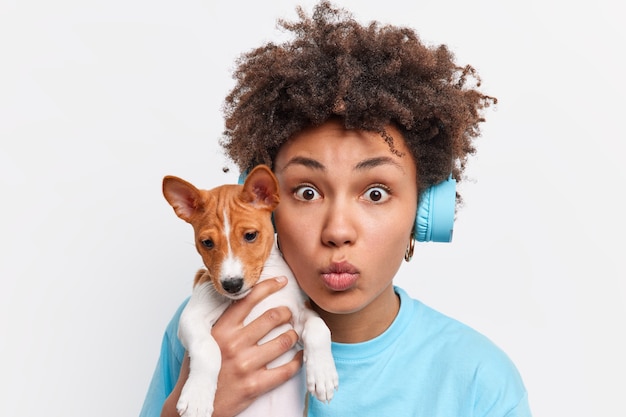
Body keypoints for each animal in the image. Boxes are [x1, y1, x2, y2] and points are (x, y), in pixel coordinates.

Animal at [161, 164, 336, 416]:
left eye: (251, 235)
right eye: (207, 243)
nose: (232, 284)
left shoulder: (299, 312)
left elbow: (319, 327)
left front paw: (323, 373)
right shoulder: (192, 316)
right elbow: (207, 348)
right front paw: (198, 397)